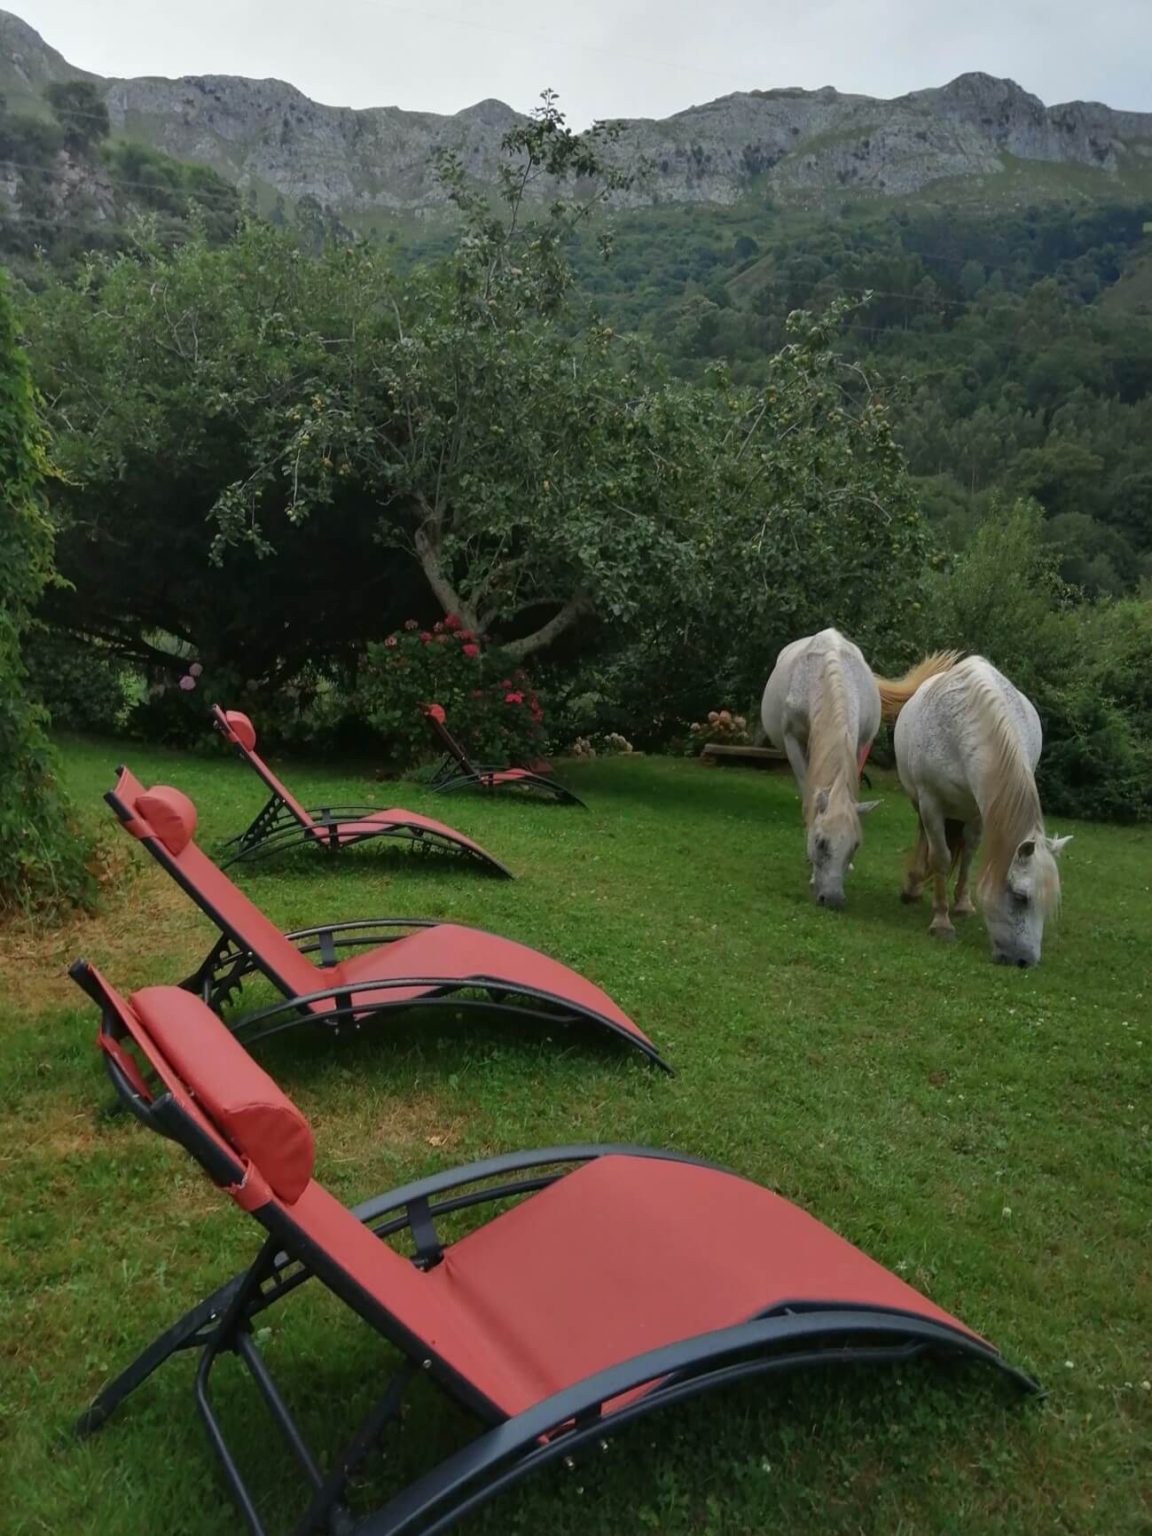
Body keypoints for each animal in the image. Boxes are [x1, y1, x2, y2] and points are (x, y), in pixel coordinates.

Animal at [760, 629, 957, 908]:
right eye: (820, 842)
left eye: (855, 846)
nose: (833, 898)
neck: (823, 675)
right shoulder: (792, 740)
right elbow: (809, 798)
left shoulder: (858, 742)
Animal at [893, 656, 1071, 966]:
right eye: (1020, 896)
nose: (1025, 962)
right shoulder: (930, 802)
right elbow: (940, 858)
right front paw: (941, 923)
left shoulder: (979, 811)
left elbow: (969, 854)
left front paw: (963, 904)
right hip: (921, 803)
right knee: (925, 838)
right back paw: (914, 886)